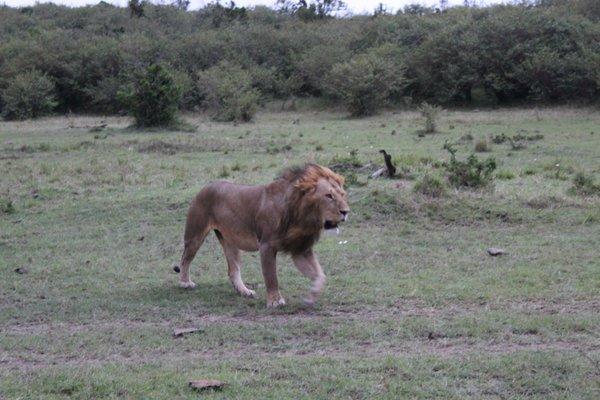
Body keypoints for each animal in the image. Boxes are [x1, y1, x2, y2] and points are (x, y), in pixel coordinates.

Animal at [173, 164, 350, 308]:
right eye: (328, 196)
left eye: (342, 194)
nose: (346, 212)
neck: (301, 217)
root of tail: (206, 186)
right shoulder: (266, 246)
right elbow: (271, 276)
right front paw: (275, 301)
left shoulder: (300, 250)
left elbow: (320, 275)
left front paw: (311, 297)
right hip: (195, 234)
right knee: (185, 259)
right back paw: (185, 283)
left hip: (231, 241)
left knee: (233, 270)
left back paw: (244, 291)